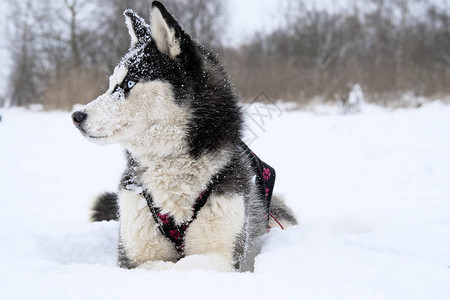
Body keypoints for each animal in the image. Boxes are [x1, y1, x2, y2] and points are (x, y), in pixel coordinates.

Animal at [71, 0, 296, 272]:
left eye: (130, 83)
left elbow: (186, 265)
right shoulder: (133, 258)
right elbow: (159, 266)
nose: (76, 116)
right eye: (112, 84)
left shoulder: (221, 255)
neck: (171, 168)